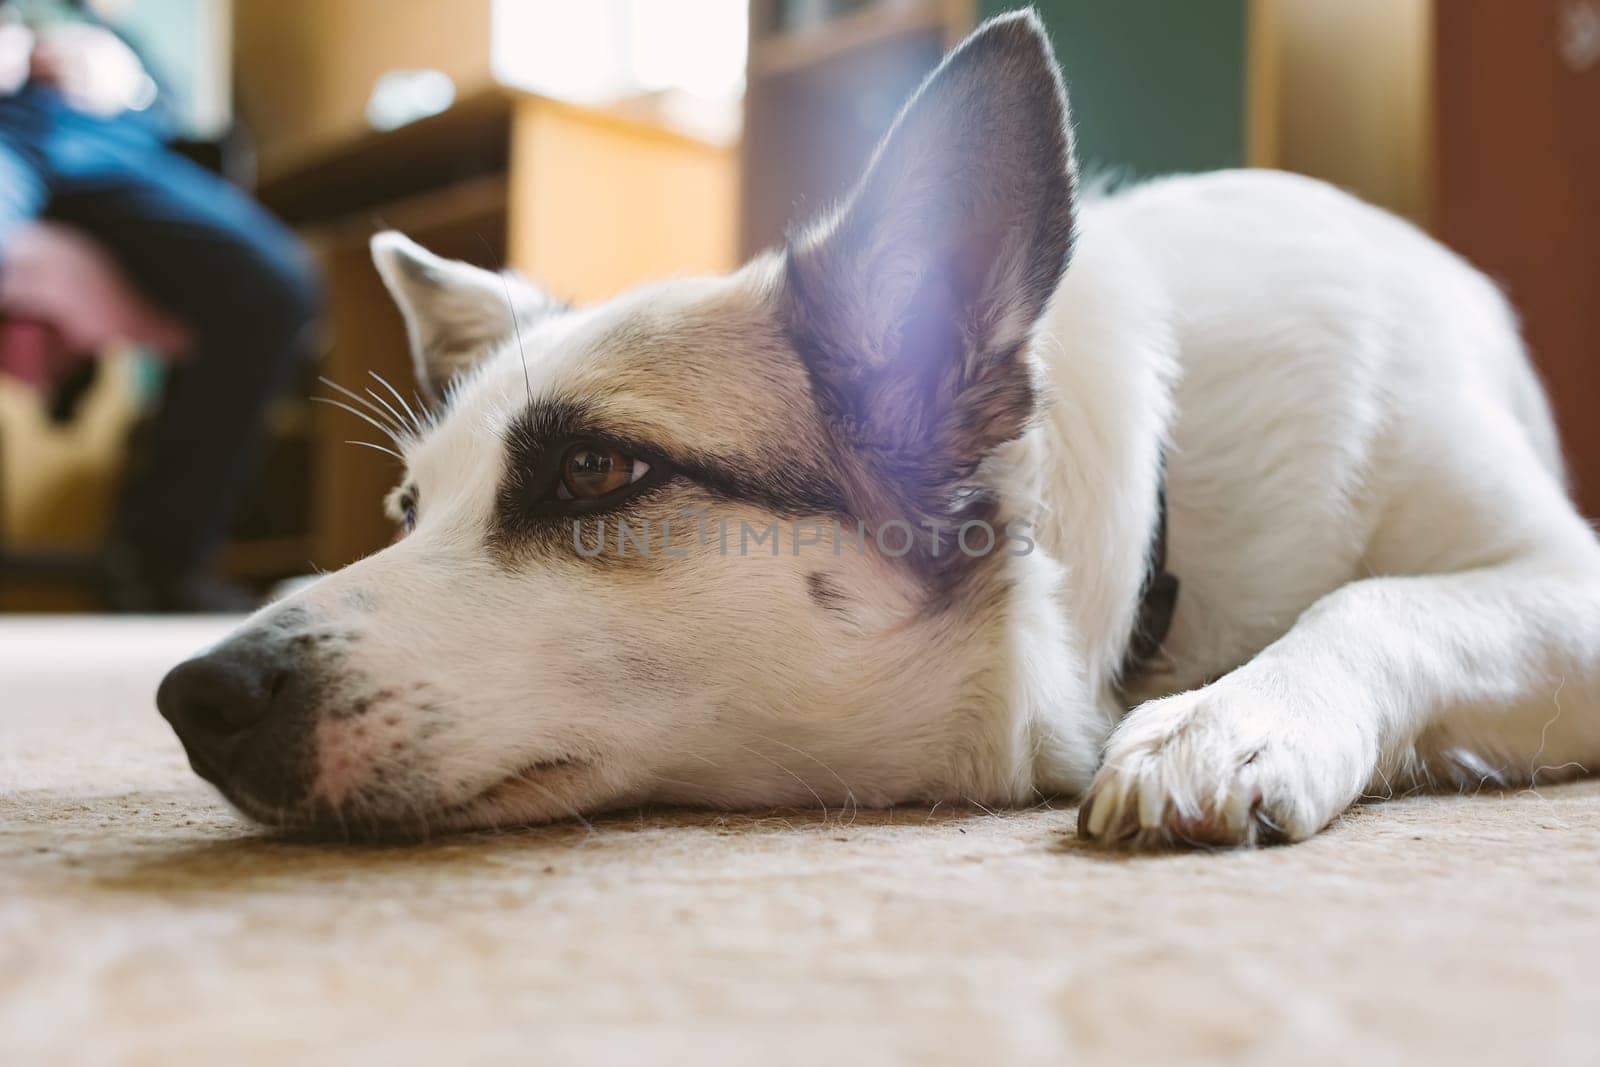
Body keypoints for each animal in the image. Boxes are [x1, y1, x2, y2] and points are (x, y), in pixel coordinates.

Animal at [159, 6, 1600, 844]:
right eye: (410, 511)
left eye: (592, 469)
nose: (191, 695)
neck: (1162, 523)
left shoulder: (1556, 573)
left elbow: (1382, 599)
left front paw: (1240, 714)